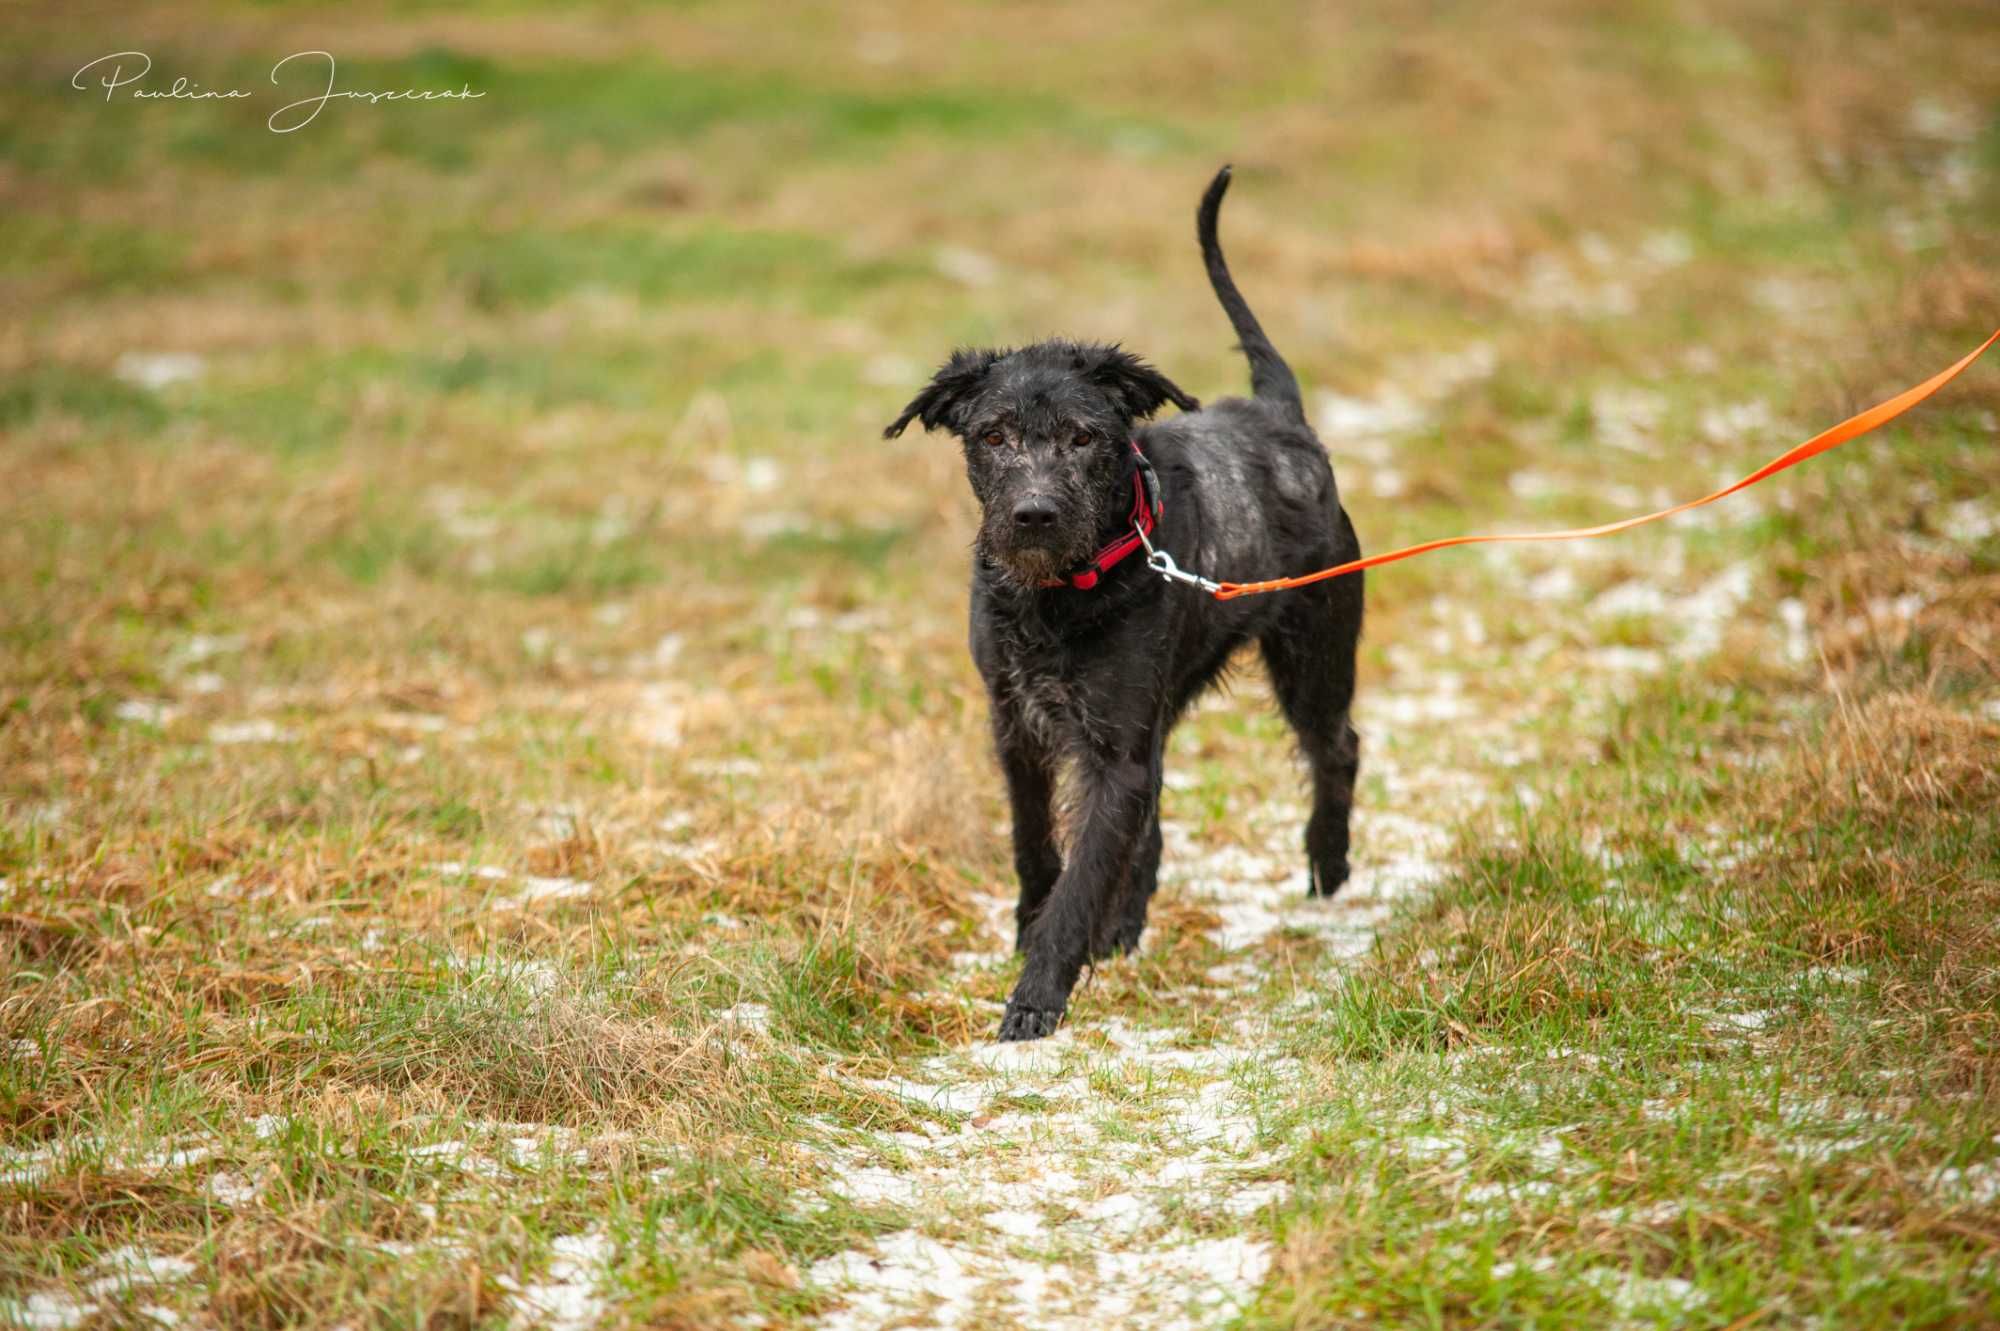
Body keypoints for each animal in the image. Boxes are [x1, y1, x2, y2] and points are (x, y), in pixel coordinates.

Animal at [888, 168, 1368, 1039]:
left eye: (1084, 437)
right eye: (993, 435)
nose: (1033, 514)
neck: (1058, 597)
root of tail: (1279, 415)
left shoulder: (1113, 752)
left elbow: (1081, 876)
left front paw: (1036, 997)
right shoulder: (1018, 726)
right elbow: (1038, 846)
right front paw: (1032, 931)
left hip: (1313, 653)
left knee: (1337, 746)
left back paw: (1327, 862)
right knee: (1153, 822)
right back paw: (1129, 921)